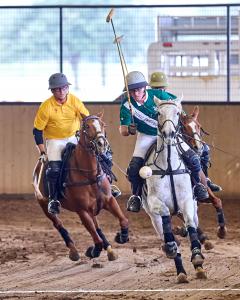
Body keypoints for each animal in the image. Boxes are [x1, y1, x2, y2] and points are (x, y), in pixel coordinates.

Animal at [33, 113, 129, 262]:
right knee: (59, 224)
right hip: (44, 204)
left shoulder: (109, 200)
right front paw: (93, 251)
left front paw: (121, 236)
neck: (89, 175)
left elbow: (123, 220)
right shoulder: (82, 210)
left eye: (103, 125)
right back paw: (73, 251)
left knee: (97, 227)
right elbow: (96, 238)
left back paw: (110, 250)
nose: (101, 144)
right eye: (87, 126)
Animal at [142, 98, 207, 284]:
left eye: (177, 113)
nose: (169, 133)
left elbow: (191, 226)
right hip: (153, 219)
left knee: (192, 224)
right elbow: (165, 214)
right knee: (166, 231)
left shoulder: (187, 201)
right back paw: (180, 271)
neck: (169, 166)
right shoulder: (154, 202)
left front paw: (197, 257)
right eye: (158, 113)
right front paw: (171, 245)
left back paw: (198, 267)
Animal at [182, 105, 227, 239]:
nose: (198, 146)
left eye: (198, 125)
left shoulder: (204, 192)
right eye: (184, 127)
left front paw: (222, 231)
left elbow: (217, 202)